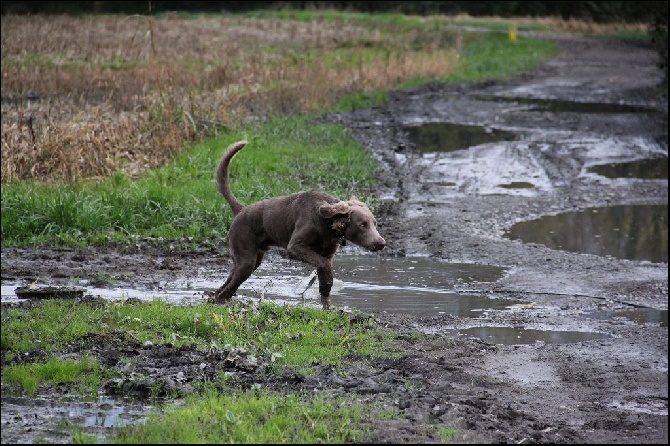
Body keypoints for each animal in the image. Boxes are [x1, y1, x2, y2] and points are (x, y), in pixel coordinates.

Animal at [213, 141, 386, 308]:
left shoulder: (327, 252)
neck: (327, 223)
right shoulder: (295, 247)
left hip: (251, 258)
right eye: (362, 224)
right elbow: (324, 265)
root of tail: (241, 210)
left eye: (375, 223)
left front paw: (328, 304)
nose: (382, 243)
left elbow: (324, 278)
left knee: (226, 285)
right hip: (246, 257)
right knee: (228, 289)